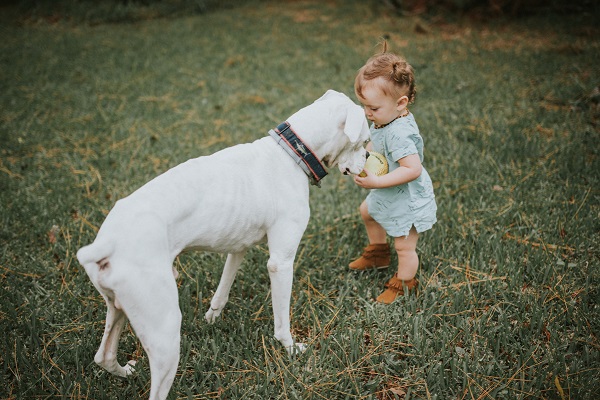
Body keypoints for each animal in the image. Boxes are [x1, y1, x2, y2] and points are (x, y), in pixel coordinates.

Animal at [76, 89, 370, 398]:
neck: (290, 153)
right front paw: (290, 349)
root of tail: (108, 242)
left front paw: (212, 318)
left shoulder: (237, 248)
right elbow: (281, 321)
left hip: (118, 308)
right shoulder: (280, 263)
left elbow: (223, 289)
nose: (368, 155)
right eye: (364, 140)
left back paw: (125, 371)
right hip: (164, 333)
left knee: (104, 356)